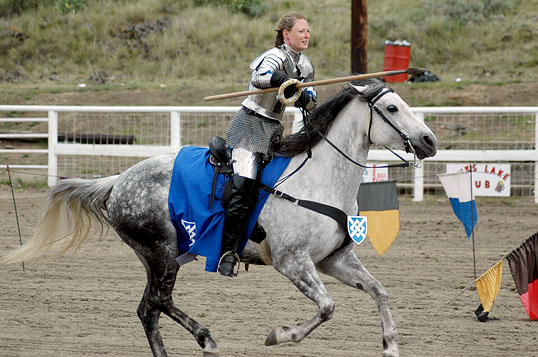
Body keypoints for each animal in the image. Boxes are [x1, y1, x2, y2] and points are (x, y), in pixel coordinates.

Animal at [4, 79, 436, 354]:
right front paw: (279, 335)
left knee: (149, 309)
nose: (430, 141)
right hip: (161, 254)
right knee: (158, 301)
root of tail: (118, 181)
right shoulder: (293, 263)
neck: (317, 179)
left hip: (159, 257)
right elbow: (327, 308)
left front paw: (391, 345)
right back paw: (206, 337)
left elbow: (379, 290)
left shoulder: (334, 260)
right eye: (392, 108)